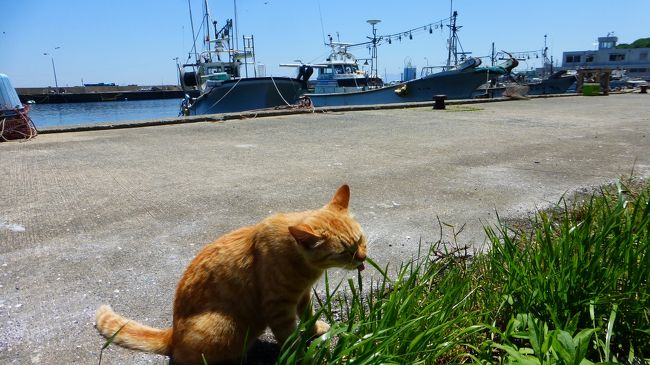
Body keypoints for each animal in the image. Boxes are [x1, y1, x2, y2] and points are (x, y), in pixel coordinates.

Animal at [95, 185, 364, 364]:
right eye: (344, 252)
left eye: (360, 240)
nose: (362, 259)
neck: (304, 267)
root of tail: (173, 333)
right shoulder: (279, 307)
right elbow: (288, 337)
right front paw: (303, 355)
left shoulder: (302, 295)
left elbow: (307, 315)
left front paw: (314, 330)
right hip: (225, 326)